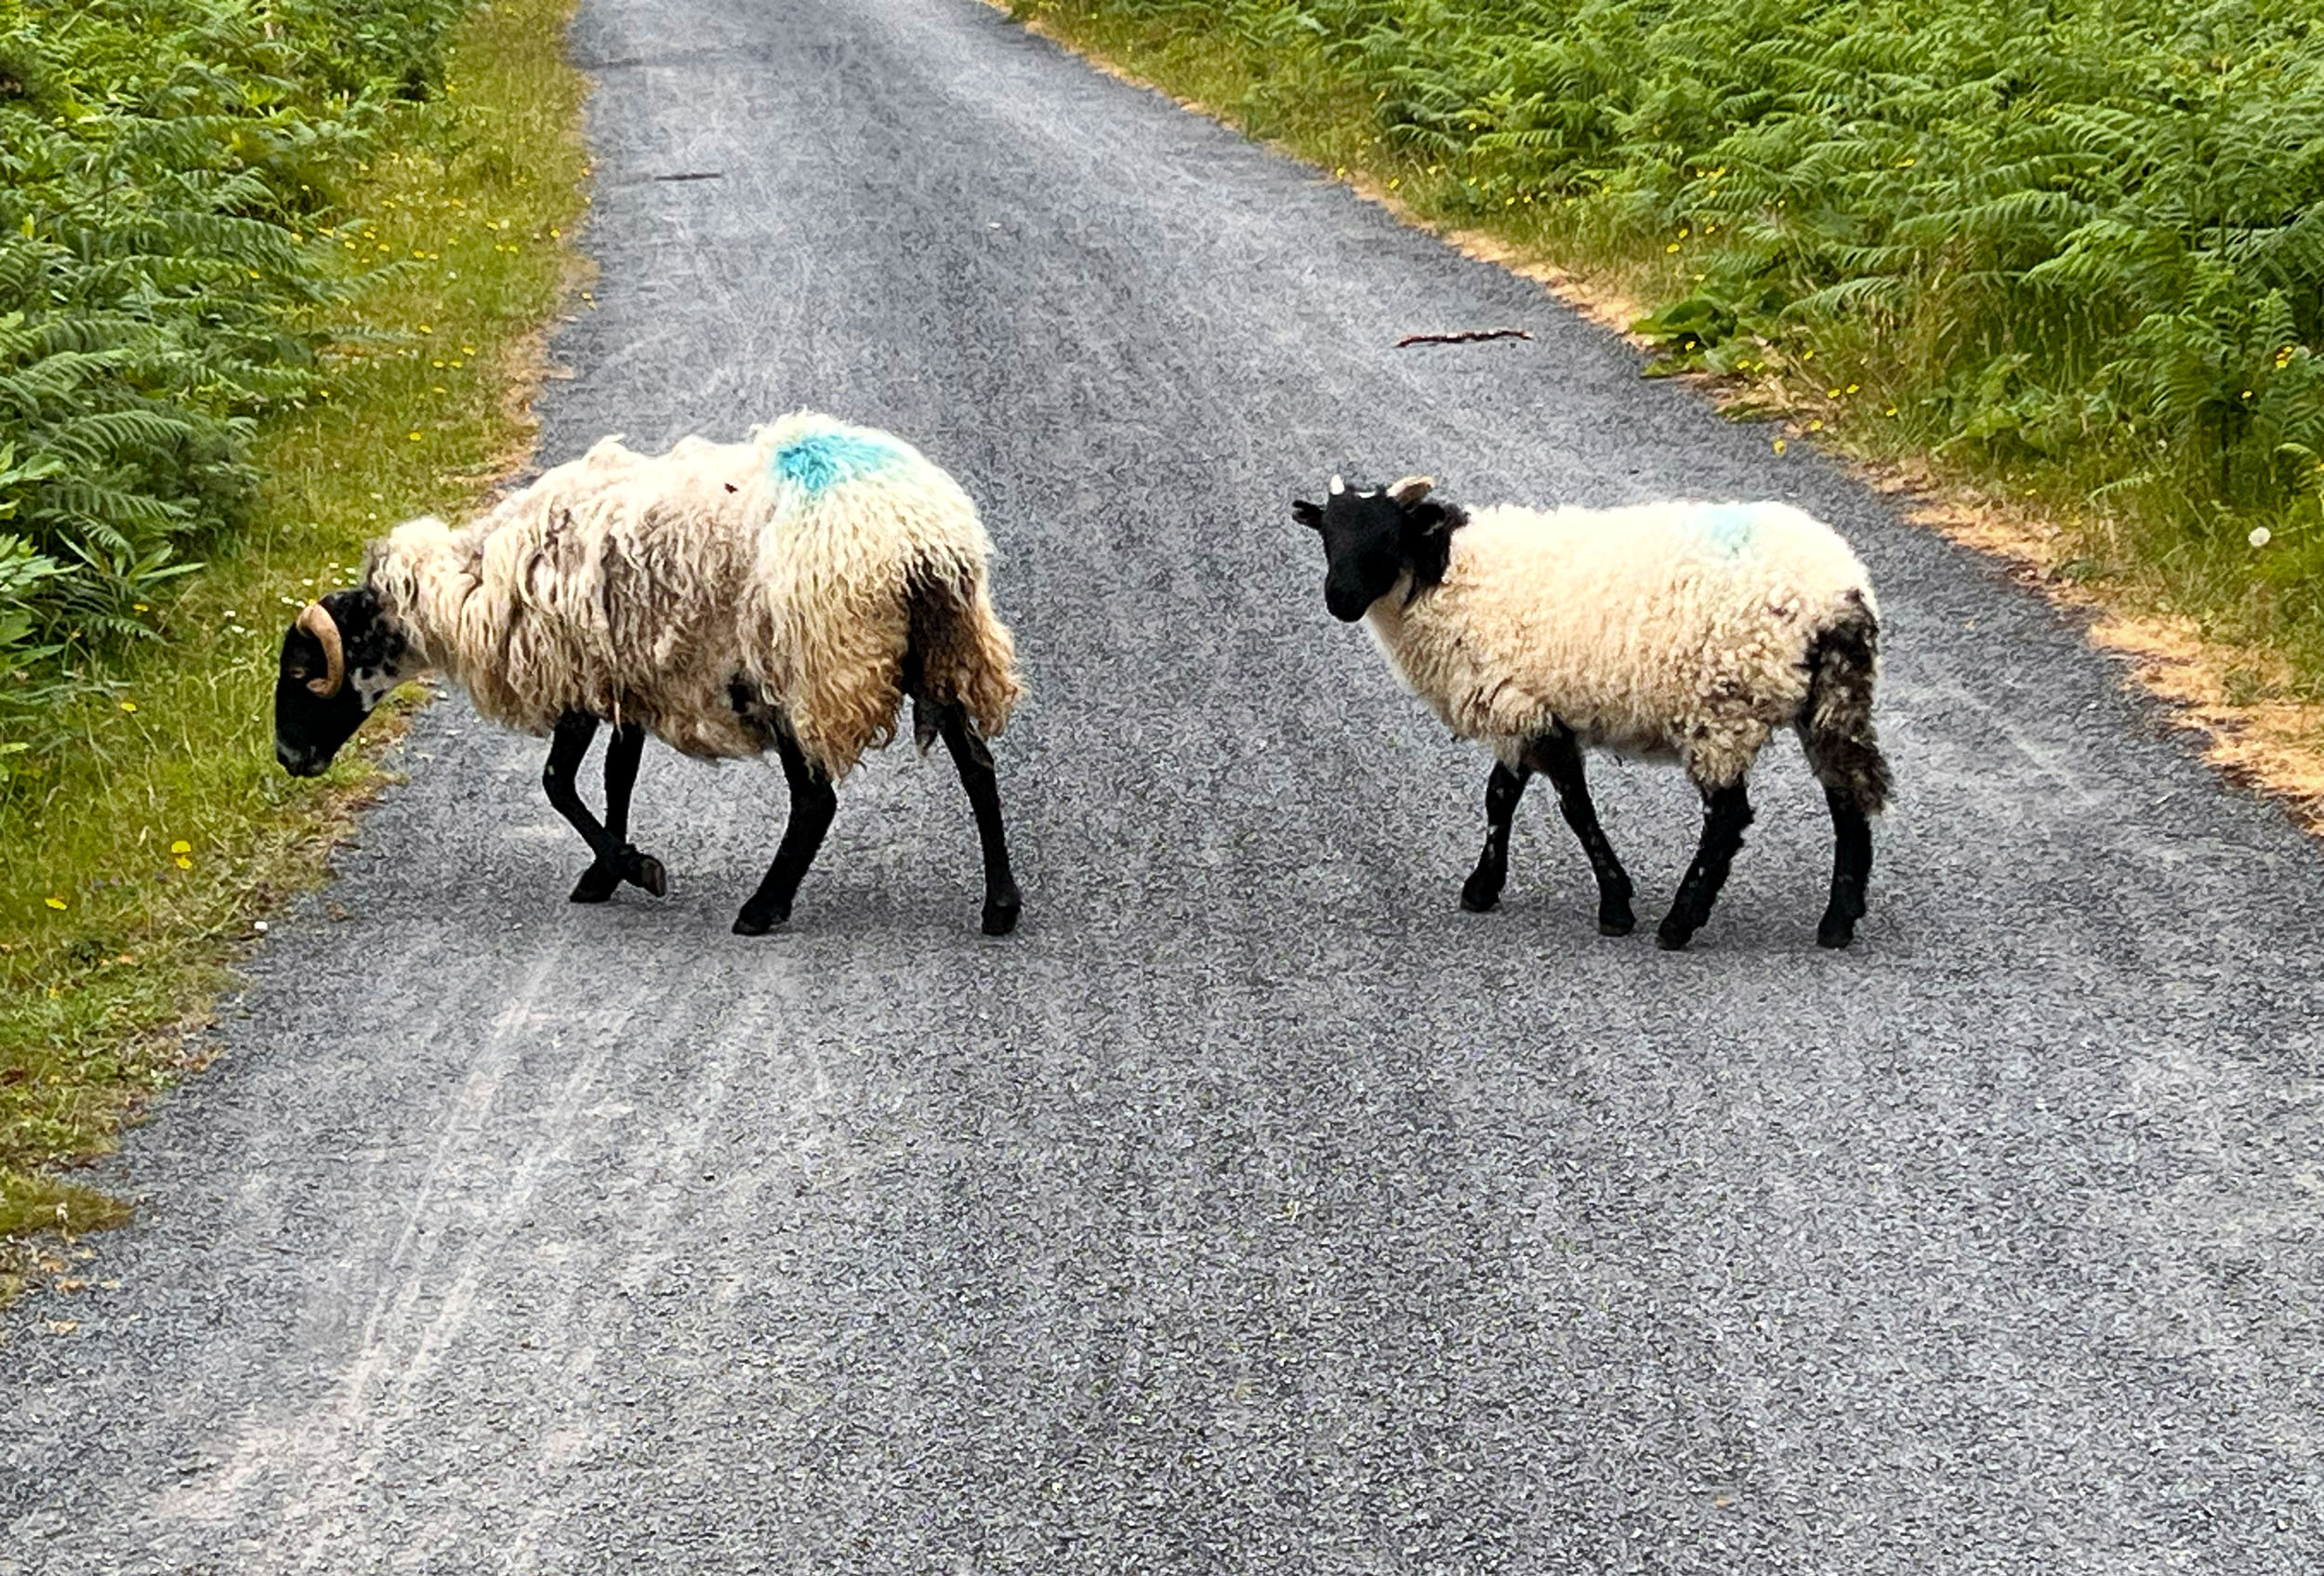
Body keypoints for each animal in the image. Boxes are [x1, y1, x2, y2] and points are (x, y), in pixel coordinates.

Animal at [273, 410, 1025, 936]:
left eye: (305, 670)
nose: (286, 757)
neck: (467, 587)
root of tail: (916, 539)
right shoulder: (623, 674)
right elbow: (617, 776)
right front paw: (606, 872)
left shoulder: (576, 671)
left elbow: (557, 783)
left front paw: (634, 867)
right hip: (942, 649)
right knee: (979, 767)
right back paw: (1001, 905)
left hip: (795, 664)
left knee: (816, 801)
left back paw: (763, 908)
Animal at [1292, 473, 1891, 949]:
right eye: (1327, 536)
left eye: (1388, 536)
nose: (1339, 600)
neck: (1448, 575)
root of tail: (1839, 593)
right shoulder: (1521, 703)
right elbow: (1500, 797)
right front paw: (1483, 887)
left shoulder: (1528, 709)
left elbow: (1574, 809)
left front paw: (1616, 906)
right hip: (1826, 699)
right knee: (1845, 799)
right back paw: (1838, 922)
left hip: (1723, 705)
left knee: (1728, 818)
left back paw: (1680, 923)